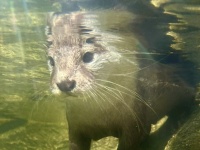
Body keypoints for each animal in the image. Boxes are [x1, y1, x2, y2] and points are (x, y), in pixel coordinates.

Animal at [45, 9, 195, 149]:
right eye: (51, 61)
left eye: (87, 56)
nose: (65, 83)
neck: (102, 116)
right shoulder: (75, 125)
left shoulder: (134, 120)